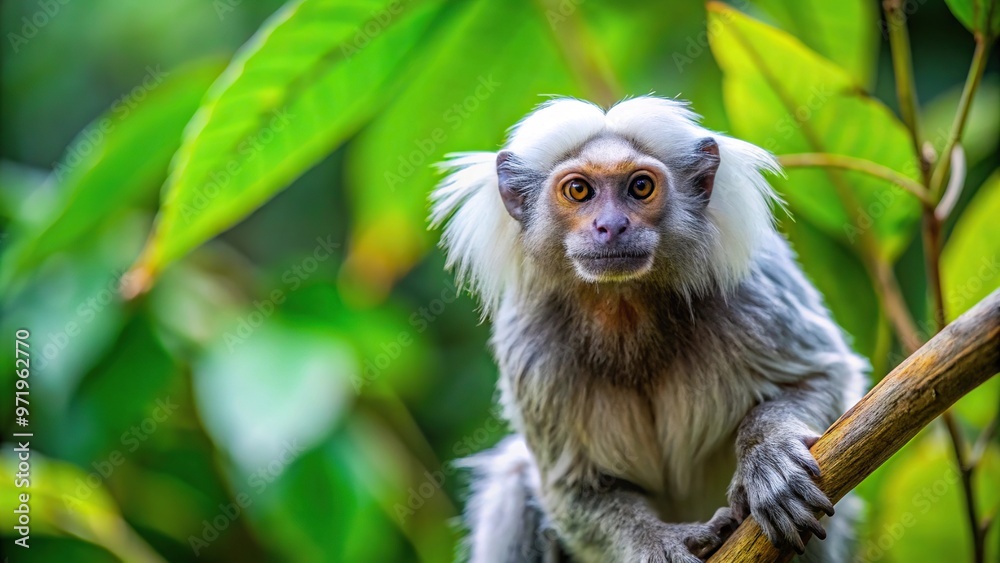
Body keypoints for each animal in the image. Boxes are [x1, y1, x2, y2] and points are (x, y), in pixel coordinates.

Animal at [430, 96, 867, 563]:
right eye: (578, 190)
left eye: (640, 187)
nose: (611, 226)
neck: (626, 307)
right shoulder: (531, 346)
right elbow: (574, 489)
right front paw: (657, 543)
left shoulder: (749, 293)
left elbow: (821, 377)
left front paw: (768, 459)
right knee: (514, 482)